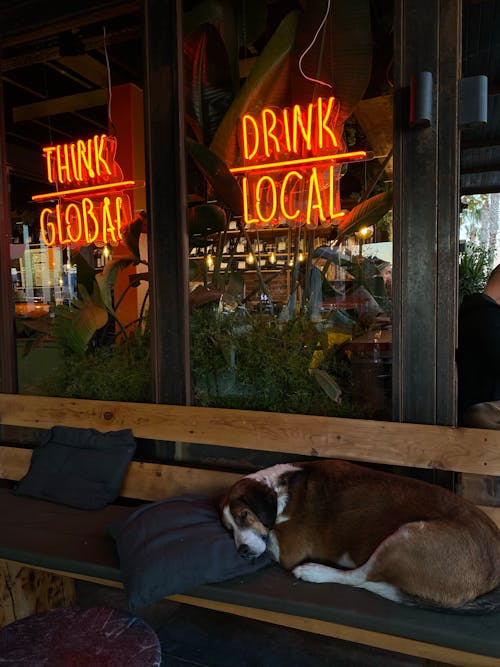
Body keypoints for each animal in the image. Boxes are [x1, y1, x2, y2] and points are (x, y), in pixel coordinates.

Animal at [220, 462, 500, 612]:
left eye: (244, 515)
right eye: (228, 528)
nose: (241, 550)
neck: (281, 490)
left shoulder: (288, 551)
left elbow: (270, 542)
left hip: (405, 537)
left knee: (359, 578)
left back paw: (315, 572)